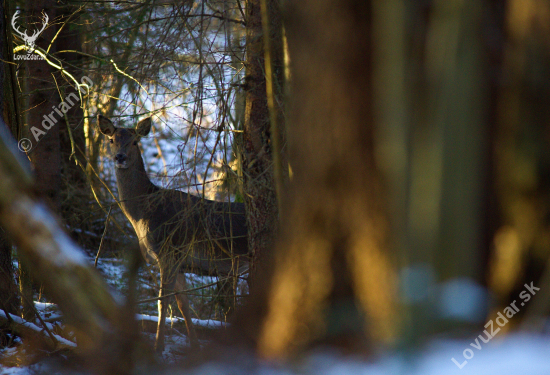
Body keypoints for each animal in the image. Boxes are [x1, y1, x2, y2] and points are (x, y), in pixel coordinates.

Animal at [96, 114, 250, 352]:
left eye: (135, 142)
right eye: (111, 139)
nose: (120, 157)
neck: (142, 215)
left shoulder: (169, 251)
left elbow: (163, 301)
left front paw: (158, 347)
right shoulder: (181, 262)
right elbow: (183, 303)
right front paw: (194, 346)